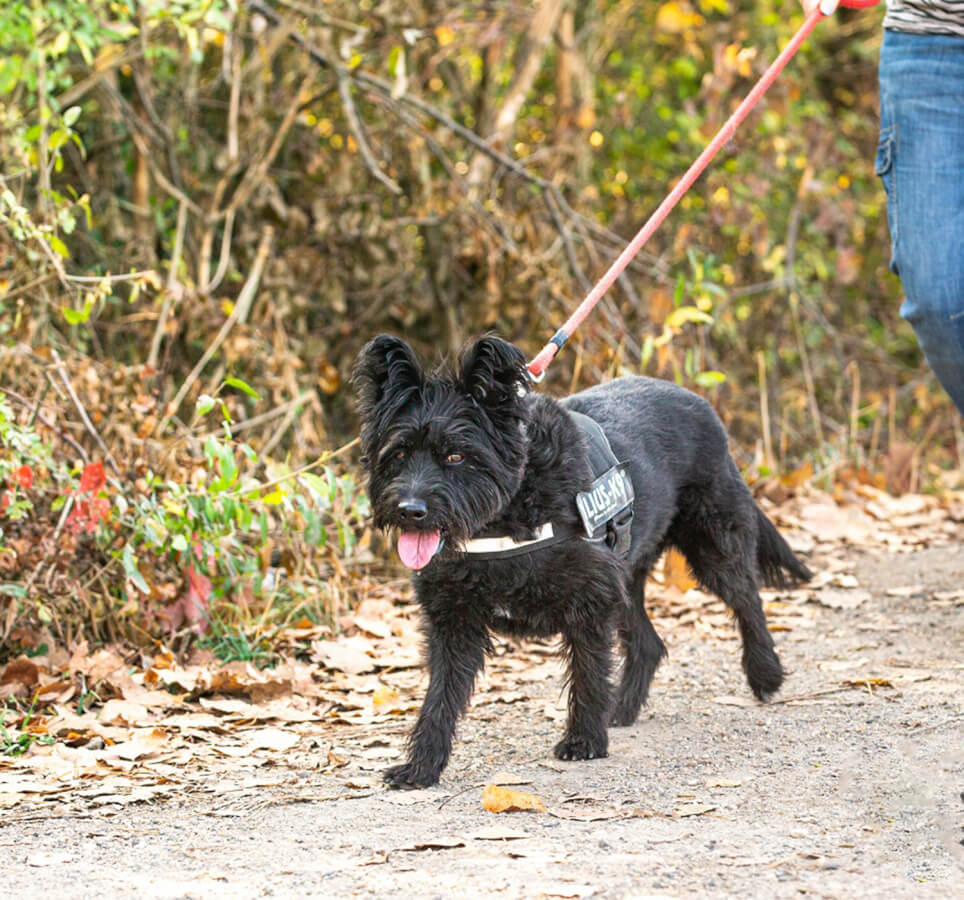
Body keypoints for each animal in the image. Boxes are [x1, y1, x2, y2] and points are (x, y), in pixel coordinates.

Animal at [353, 334, 811, 788]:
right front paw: (422, 765)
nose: (410, 511)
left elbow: (588, 671)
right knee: (649, 644)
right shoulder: (453, 620)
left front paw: (585, 740)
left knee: (747, 599)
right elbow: (439, 697)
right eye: (399, 454)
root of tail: (700, 404)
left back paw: (765, 673)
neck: (509, 513)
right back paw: (621, 707)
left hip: (713, 543)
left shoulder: (591, 602)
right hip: (628, 577)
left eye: (455, 456)